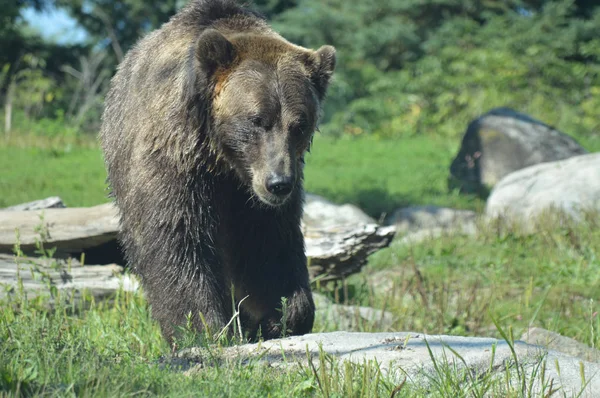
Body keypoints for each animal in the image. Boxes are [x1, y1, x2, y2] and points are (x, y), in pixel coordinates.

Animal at [97, 0, 332, 342]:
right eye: (257, 120)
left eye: (299, 124)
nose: (278, 183)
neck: (223, 160)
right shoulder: (174, 158)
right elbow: (176, 236)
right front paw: (205, 327)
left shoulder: (255, 197)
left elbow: (270, 243)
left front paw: (283, 315)